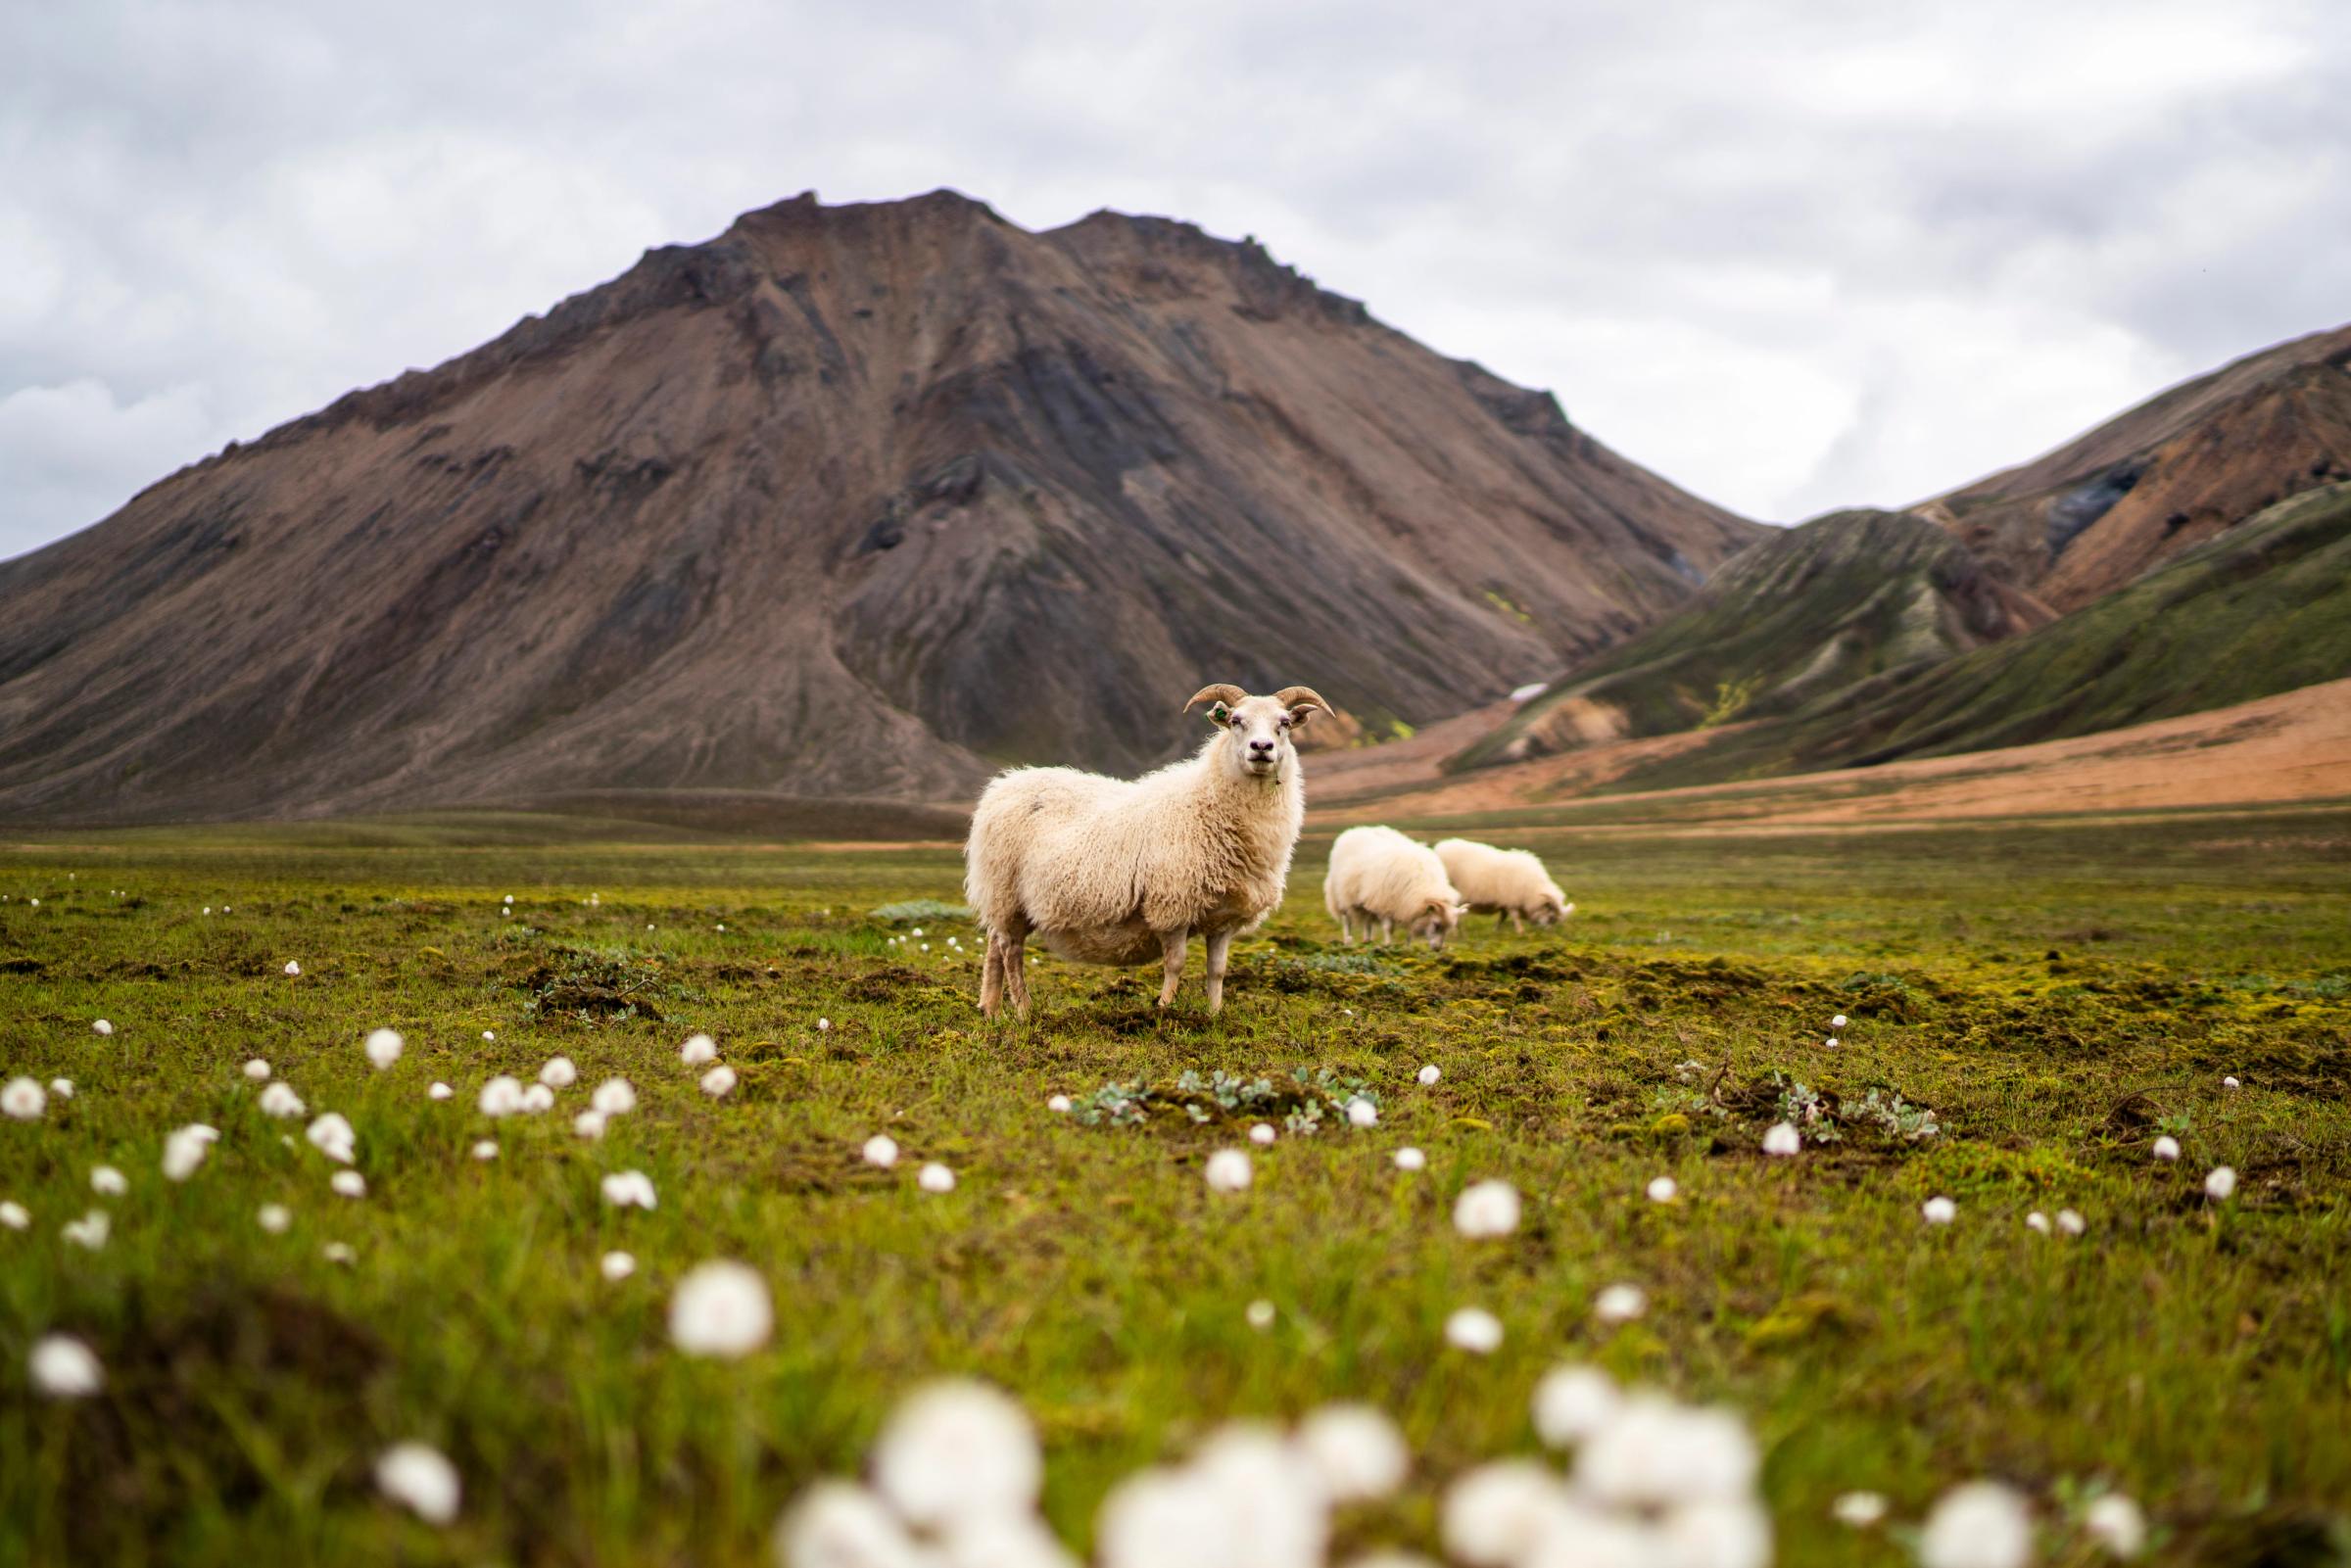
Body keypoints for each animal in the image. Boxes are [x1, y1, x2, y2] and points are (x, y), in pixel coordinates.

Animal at [963, 682, 1331, 1016]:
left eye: (1284, 723)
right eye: (1236, 721)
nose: (1261, 747)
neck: (1207, 802)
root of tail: (1002, 785)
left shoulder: (1223, 919)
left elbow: (1218, 970)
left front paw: (1214, 1015)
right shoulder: (1173, 905)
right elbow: (1176, 963)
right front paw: (1164, 1010)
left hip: (1005, 901)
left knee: (994, 946)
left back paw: (991, 1010)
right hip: (1006, 892)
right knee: (1011, 951)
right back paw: (1023, 1010)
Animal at [1323, 825, 1467, 951]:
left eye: (1448, 929)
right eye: (1437, 924)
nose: (1437, 949)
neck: (1422, 882)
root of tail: (1354, 830)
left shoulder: (1408, 906)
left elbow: (1409, 931)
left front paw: (1408, 947)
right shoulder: (1385, 902)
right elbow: (1388, 928)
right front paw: (1388, 945)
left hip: (1366, 899)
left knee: (1367, 922)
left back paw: (1367, 941)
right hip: (1341, 896)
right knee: (1347, 921)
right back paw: (1348, 941)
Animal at [1433, 838, 1573, 934]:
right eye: (1552, 917)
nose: (1548, 933)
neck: (1532, 889)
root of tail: (1439, 848)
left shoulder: (1505, 902)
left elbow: (1503, 917)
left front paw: (1496, 930)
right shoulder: (1512, 900)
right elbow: (1515, 916)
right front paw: (1520, 931)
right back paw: (1455, 932)